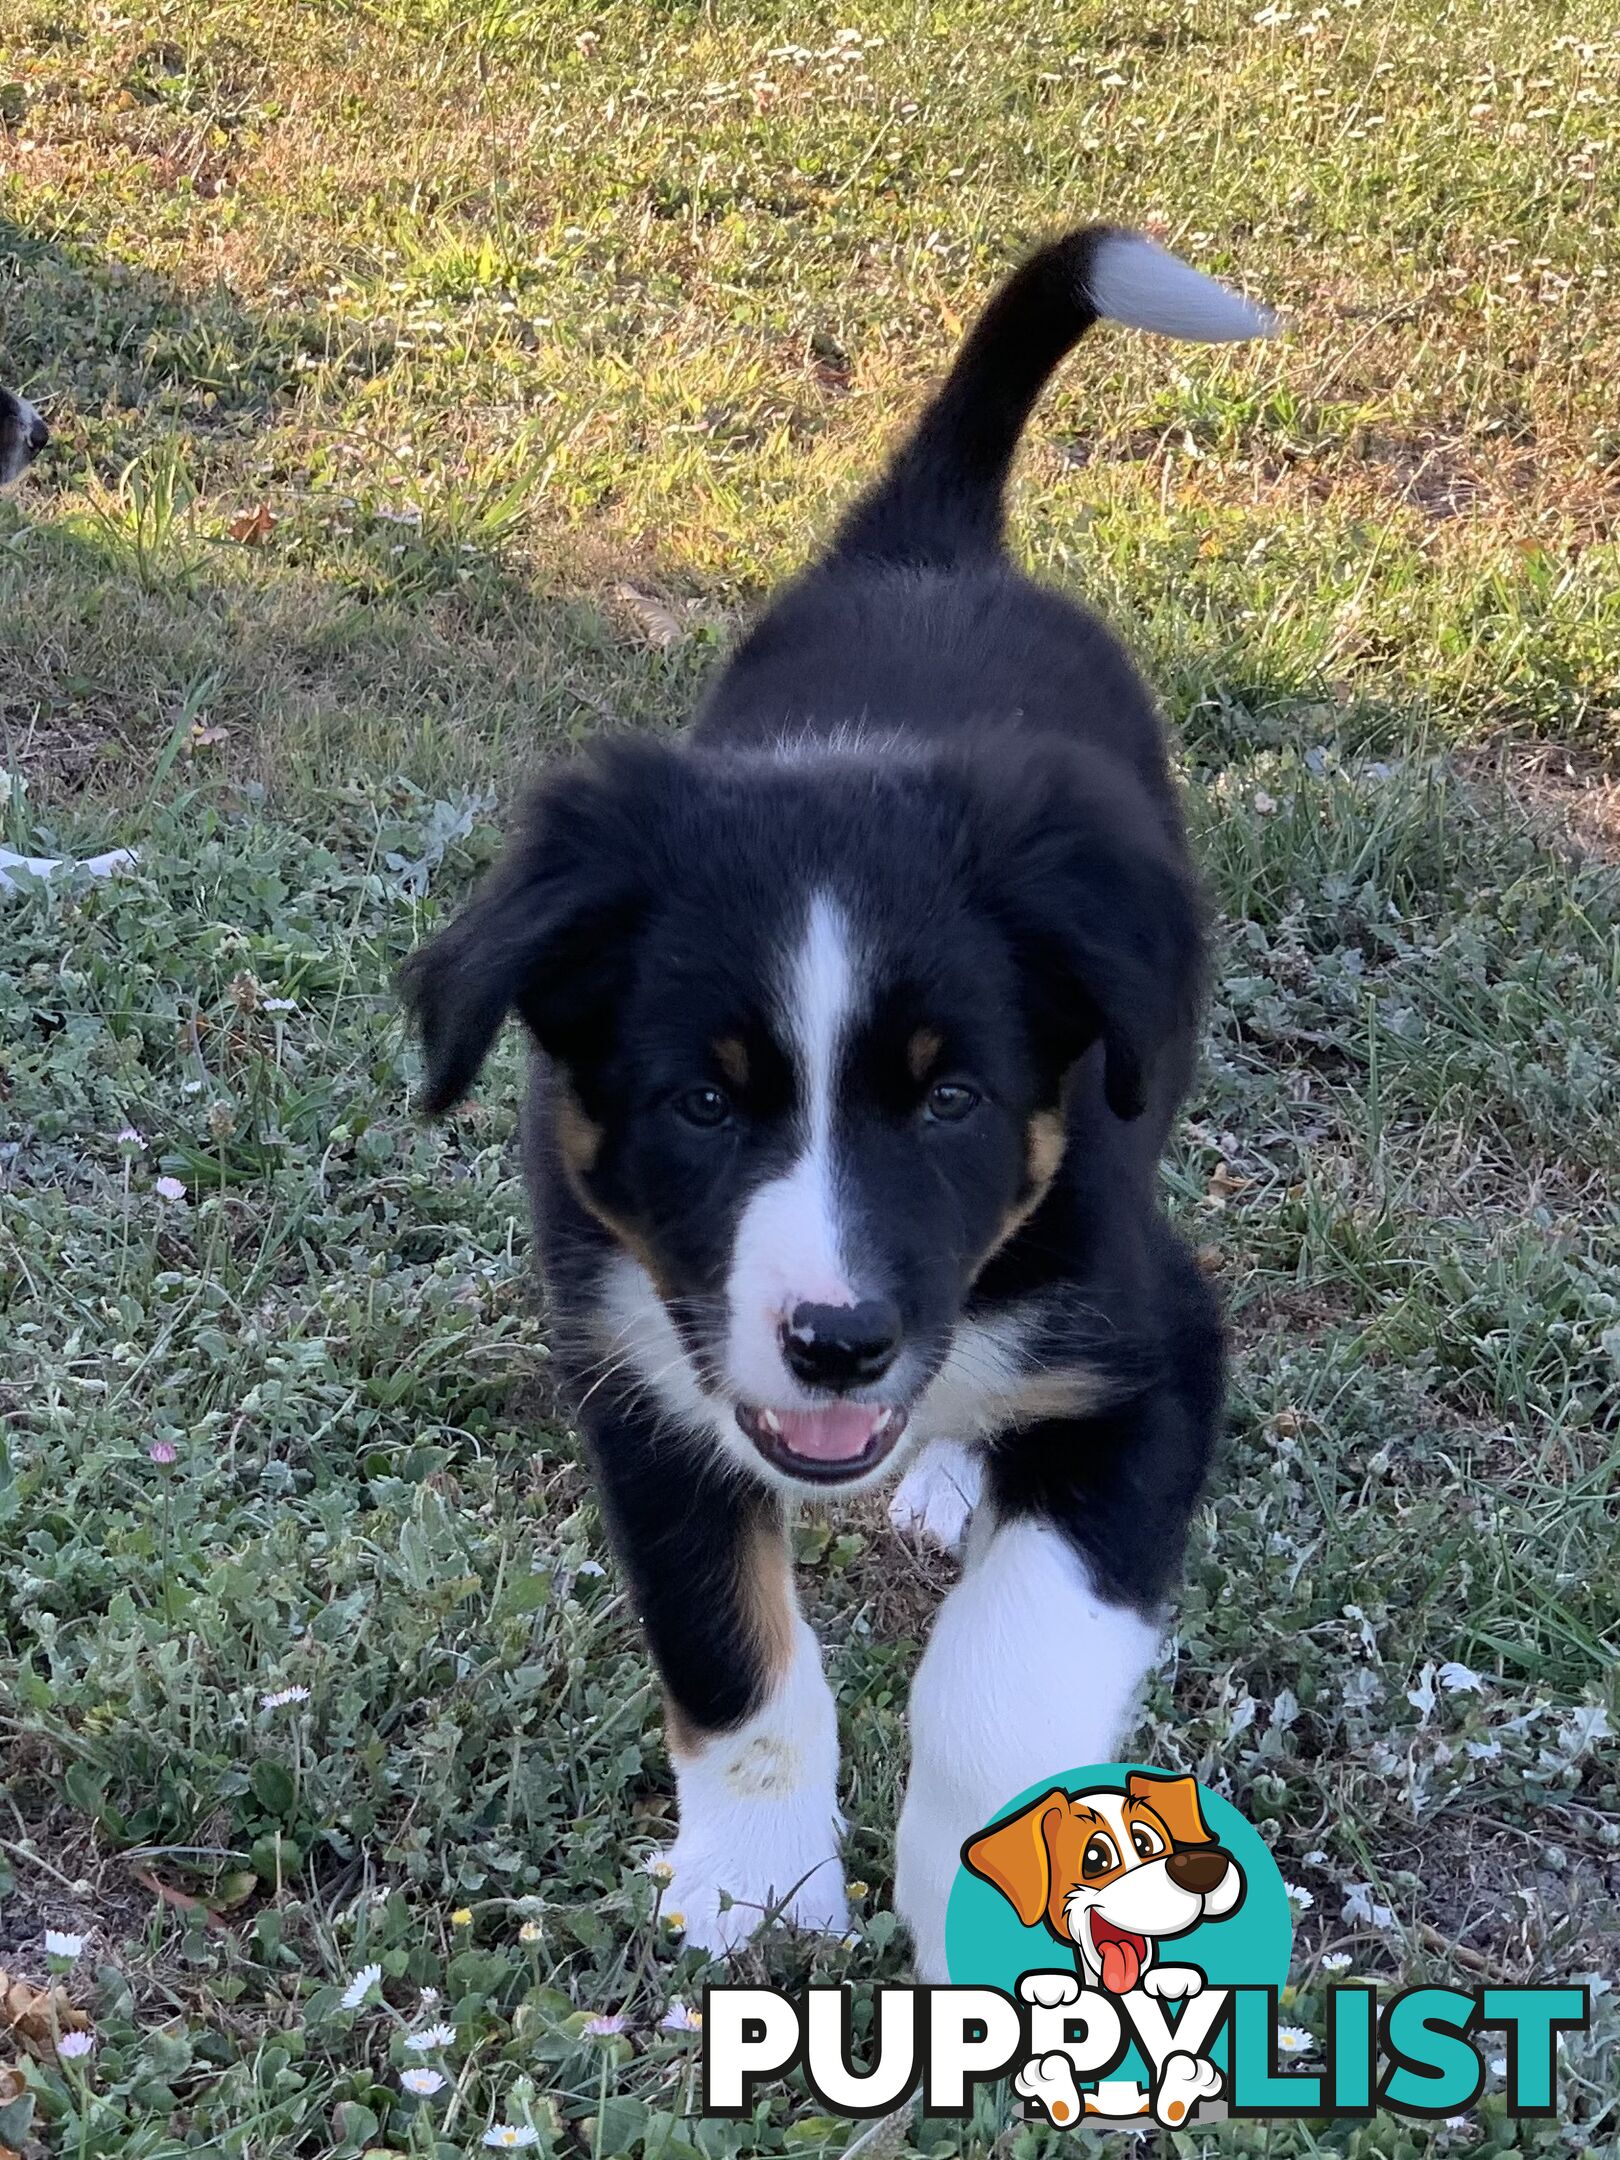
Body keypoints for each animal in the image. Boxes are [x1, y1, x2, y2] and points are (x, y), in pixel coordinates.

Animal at [399, 219, 1278, 1978]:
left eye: (950, 1105)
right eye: (701, 1105)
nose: (839, 1343)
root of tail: (931, 541)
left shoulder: (1158, 1358)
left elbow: (1003, 1680)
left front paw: (992, 1919)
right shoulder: (639, 1373)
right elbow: (733, 1661)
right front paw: (758, 1891)